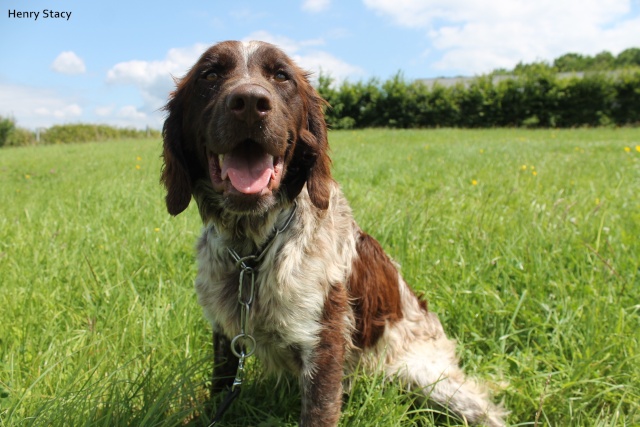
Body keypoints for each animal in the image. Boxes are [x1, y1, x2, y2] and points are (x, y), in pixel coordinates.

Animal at [162, 41, 508, 427]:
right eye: (210, 75)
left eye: (281, 76)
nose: (250, 103)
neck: (253, 250)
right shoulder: (227, 334)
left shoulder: (323, 343)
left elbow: (319, 410)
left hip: (434, 382)